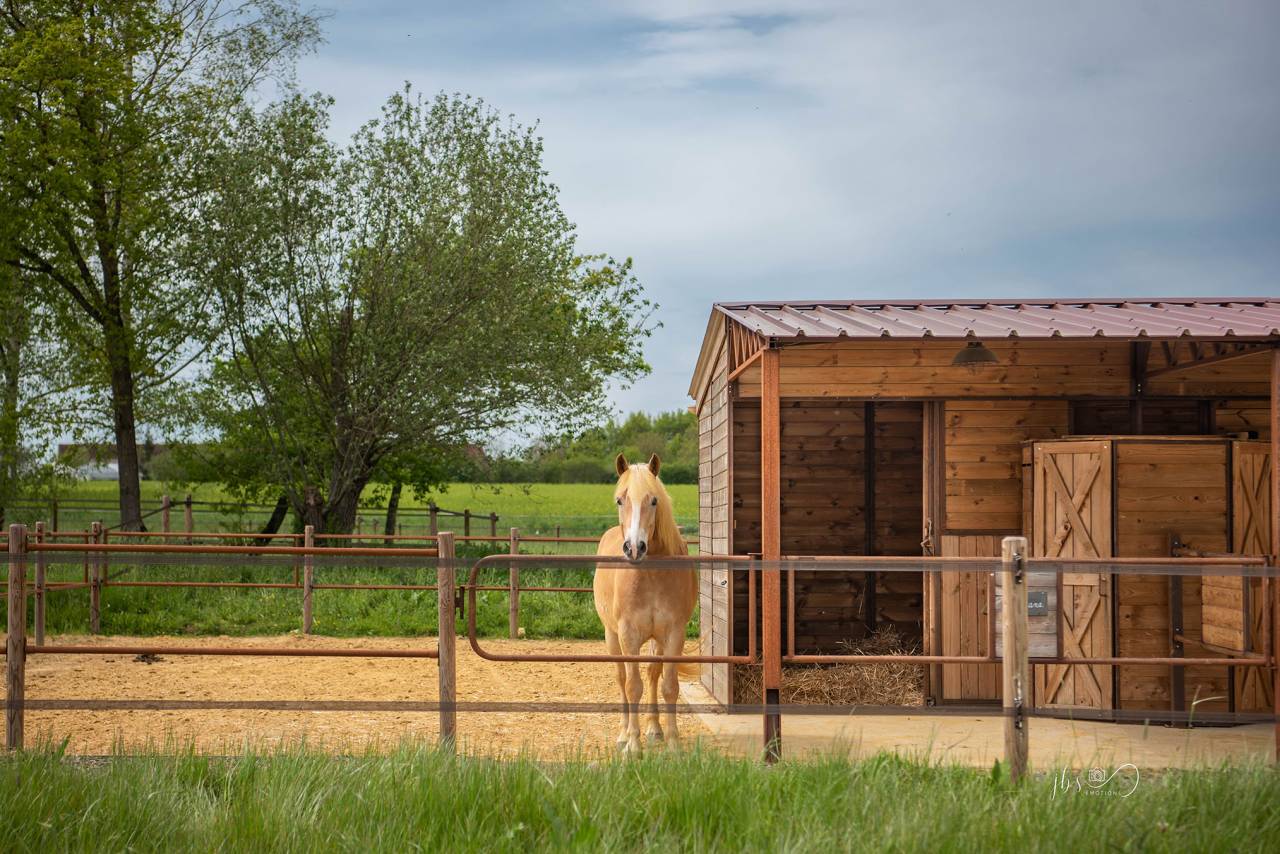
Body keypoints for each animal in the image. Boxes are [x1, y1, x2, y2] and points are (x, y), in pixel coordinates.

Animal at [594, 452, 696, 753]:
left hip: (656, 640)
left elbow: (668, 685)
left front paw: (673, 743)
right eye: (620, 500)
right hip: (612, 637)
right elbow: (632, 687)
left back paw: (654, 729)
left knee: (652, 673)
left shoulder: (673, 634)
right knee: (622, 678)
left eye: (654, 501)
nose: (634, 548)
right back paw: (623, 732)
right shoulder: (628, 635)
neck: (650, 575)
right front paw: (632, 746)